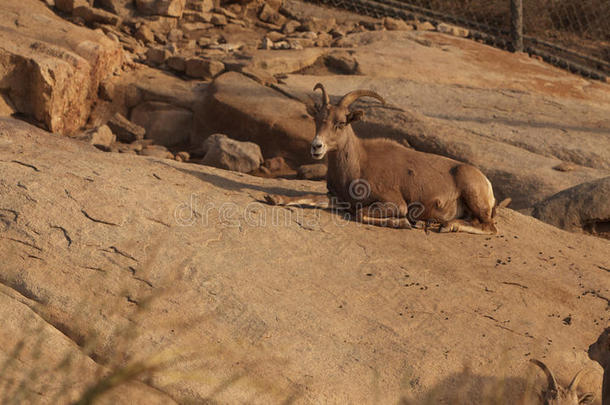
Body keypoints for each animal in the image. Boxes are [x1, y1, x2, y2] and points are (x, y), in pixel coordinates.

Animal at [264, 83, 506, 234]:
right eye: (317, 120)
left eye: (341, 123)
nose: (316, 146)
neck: (358, 164)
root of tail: (486, 182)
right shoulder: (340, 199)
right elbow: (310, 198)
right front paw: (273, 198)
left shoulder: (395, 203)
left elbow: (361, 214)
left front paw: (405, 224)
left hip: (474, 196)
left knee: (490, 227)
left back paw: (447, 226)